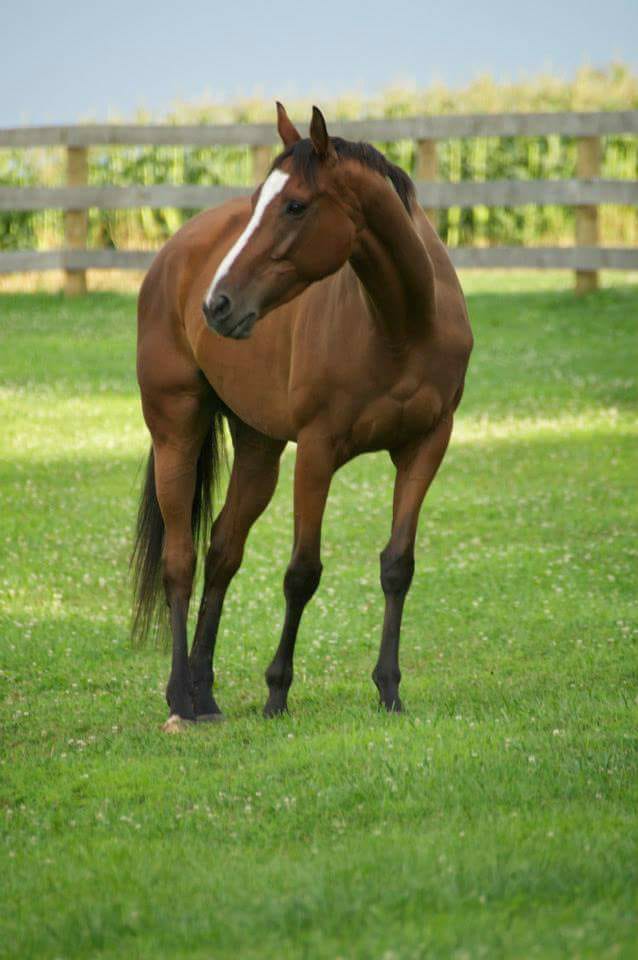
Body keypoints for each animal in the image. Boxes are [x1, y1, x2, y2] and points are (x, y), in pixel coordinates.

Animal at [134, 105, 476, 732]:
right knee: (180, 561)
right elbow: (302, 573)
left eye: (295, 205)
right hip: (176, 430)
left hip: (260, 450)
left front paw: (389, 690)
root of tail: (174, 252)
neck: (401, 326)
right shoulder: (318, 451)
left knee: (222, 553)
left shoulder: (426, 446)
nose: (217, 305)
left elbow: (398, 565)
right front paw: (277, 692)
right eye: (257, 201)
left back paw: (205, 695)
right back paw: (179, 702)